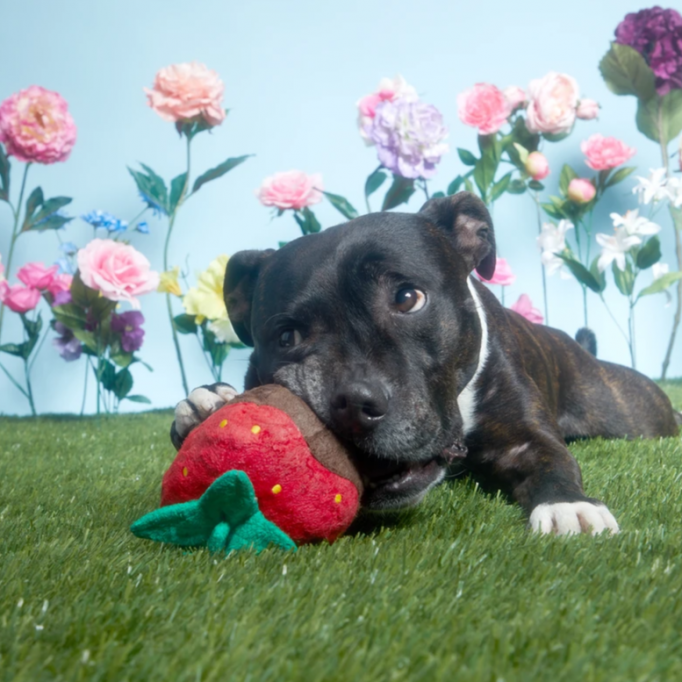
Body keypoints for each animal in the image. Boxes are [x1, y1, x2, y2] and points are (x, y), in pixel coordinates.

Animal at [169, 193, 676, 536]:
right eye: (286, 337)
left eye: (408, 298)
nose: (353, 403)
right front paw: (207, 403)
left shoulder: (525, 438)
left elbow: (553, 459)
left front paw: (567, 504)